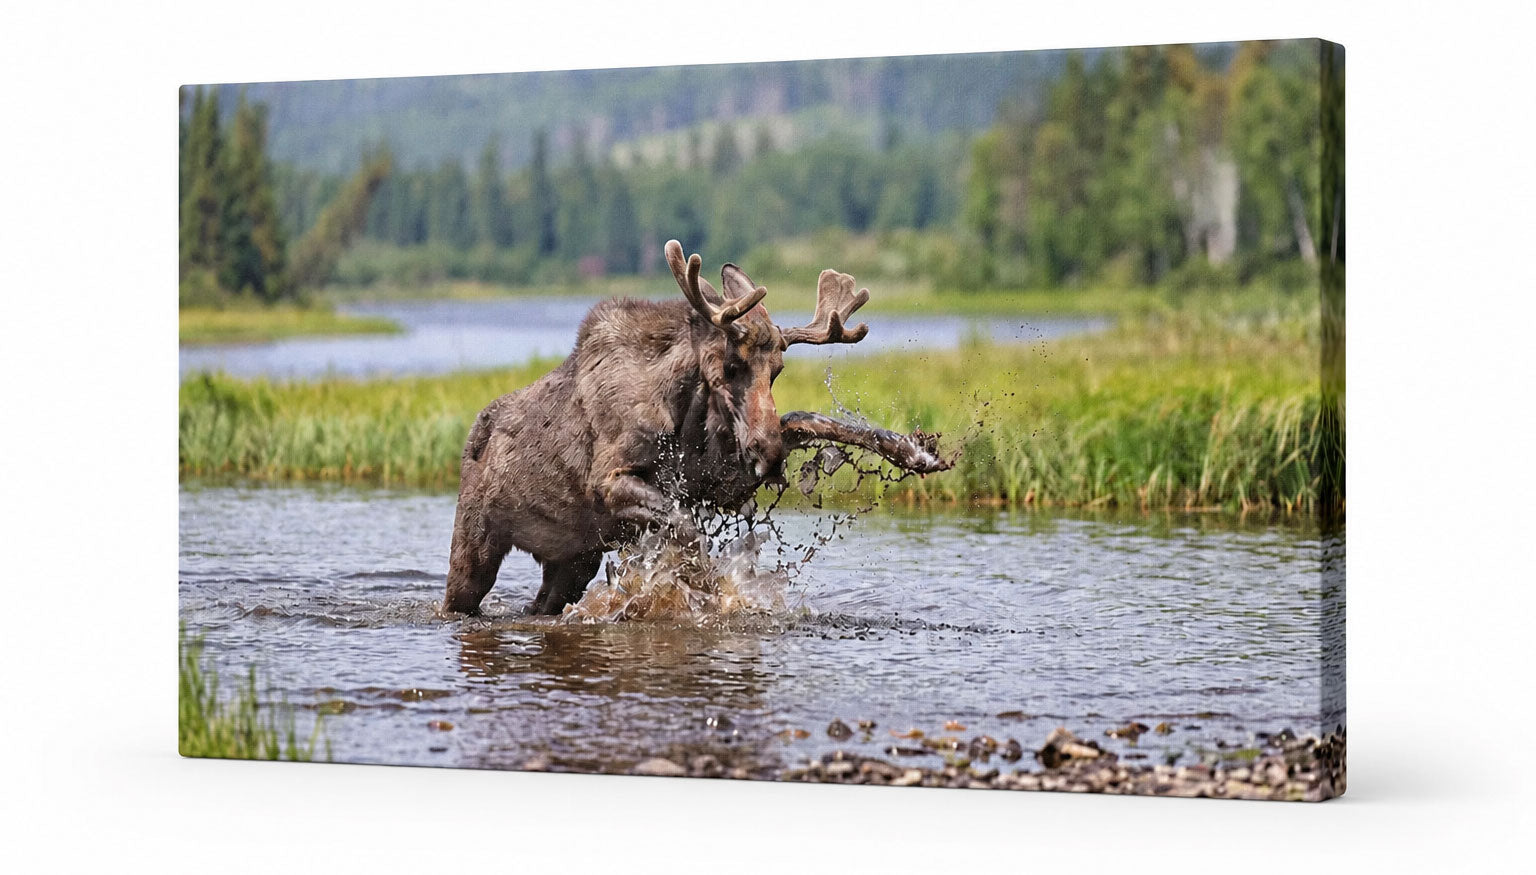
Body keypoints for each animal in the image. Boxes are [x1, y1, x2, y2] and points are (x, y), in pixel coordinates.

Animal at [441, 239, 951, 616]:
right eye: (729, 366)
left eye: (777, 371)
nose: (769, 457)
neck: (683, 413)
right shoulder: (609, 481)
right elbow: (686, 528)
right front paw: (708, 591)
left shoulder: (720, 479)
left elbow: (810, 419)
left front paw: (919, 451)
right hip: (476, 542)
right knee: (458, 599)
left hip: (572, 560)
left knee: (543, 603)